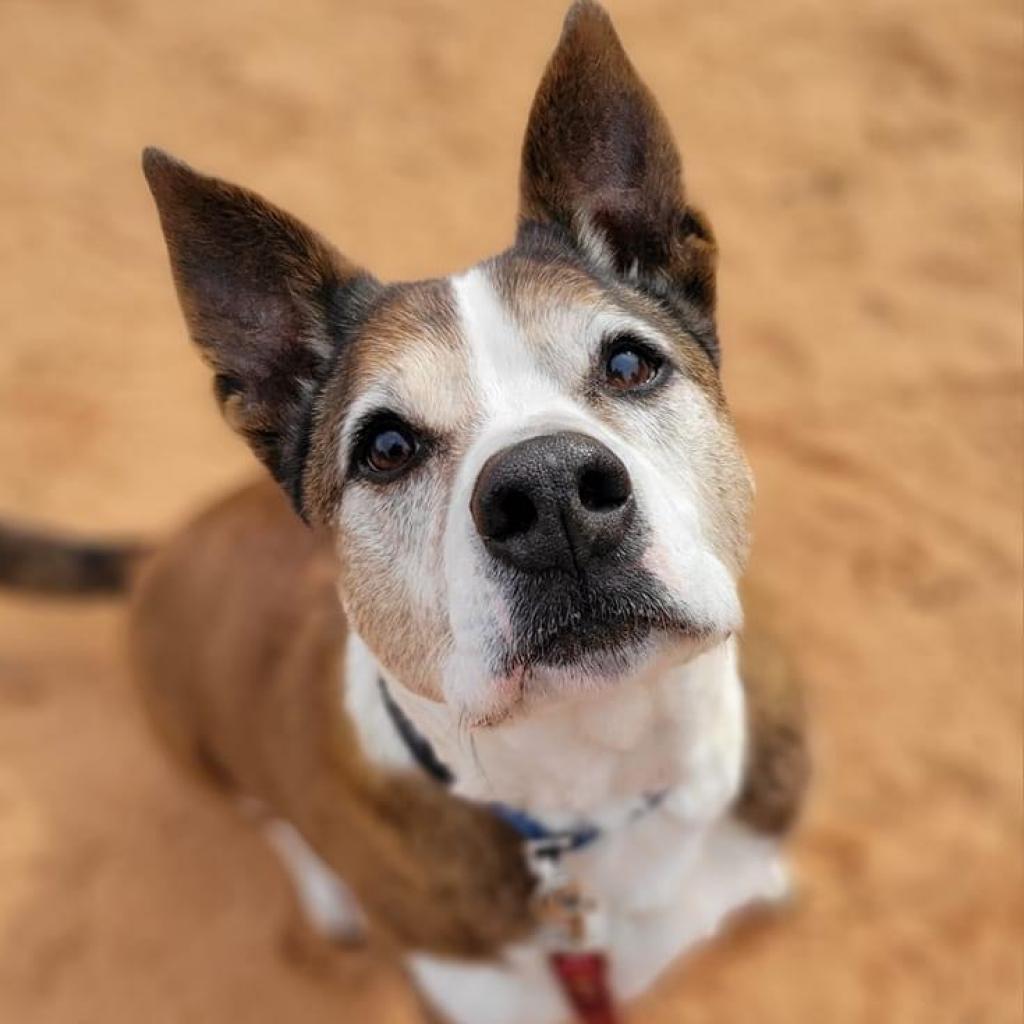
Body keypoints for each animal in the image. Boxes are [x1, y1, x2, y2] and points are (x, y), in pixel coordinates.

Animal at [0, 4, 806, 1019]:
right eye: (386, 448)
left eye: (629, 363)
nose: (550, 493)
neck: (600, 781)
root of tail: (160, 548)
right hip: (194, 741)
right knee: (273, 824)